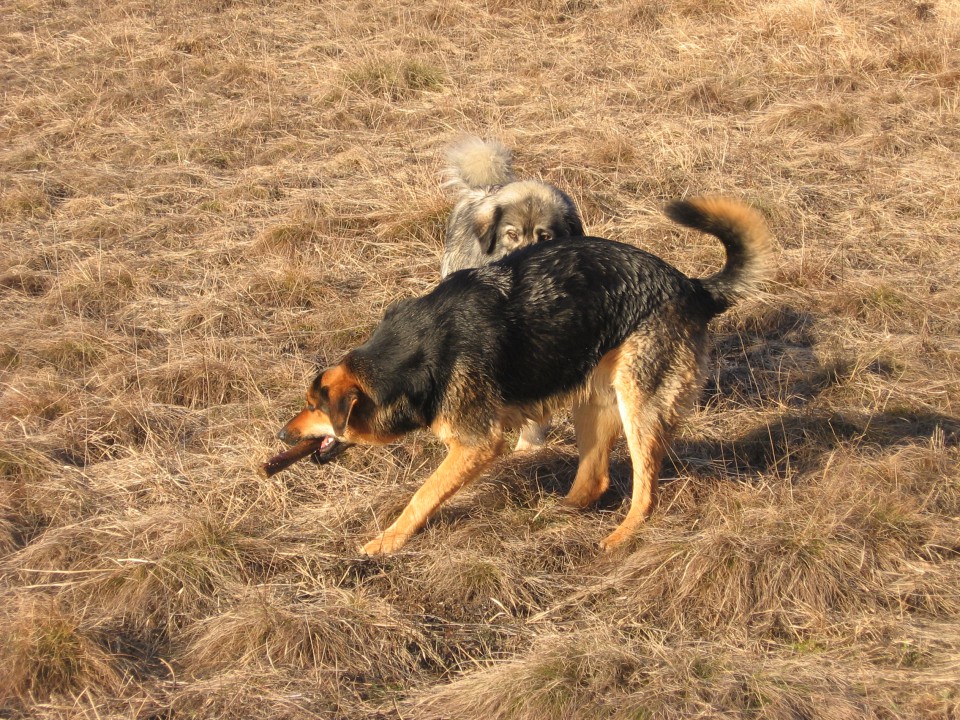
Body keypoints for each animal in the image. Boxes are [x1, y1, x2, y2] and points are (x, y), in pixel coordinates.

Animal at [278, 198, 772, 556]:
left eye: (314, 406)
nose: (282, 436)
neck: (414, 352)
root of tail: (694, 287)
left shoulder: (477, 443)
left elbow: (422, 495)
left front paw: (385, 542)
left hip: (638, 405)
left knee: (644, 493)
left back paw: (621, 537)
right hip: (594, 402)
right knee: (595, 480)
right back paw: (555, 514)